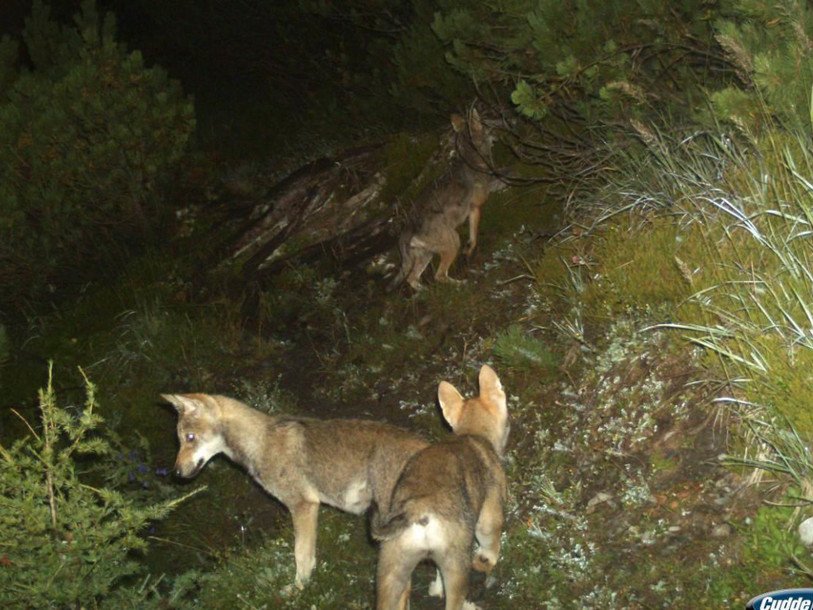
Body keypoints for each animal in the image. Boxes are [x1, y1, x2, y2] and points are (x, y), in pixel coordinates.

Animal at [161, 393, 428, 590]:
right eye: (180, 440)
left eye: (190, 437)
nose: (175, 473)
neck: (260, 443)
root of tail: (426, 446)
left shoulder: (303, 506)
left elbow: (301, 556)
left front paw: (300, 590)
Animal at [371, 364, 509, 610]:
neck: (471, 433)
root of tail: (417, 511)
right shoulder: (489, 514)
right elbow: (490, 545)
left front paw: (435, 589)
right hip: (456, 567)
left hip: (391, 572)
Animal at [391, 109, 495, 291]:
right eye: (484, 123)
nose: (494, 130)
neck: (472, 158)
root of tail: (406, 231)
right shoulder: (476, 207)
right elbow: (474, 237)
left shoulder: (473, 210)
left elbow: (473, 238)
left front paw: (468, 251)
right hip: (453, 241)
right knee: (439, 276)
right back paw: (461, 284)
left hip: (427, 255)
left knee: (412, 279)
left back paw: (424, 291)